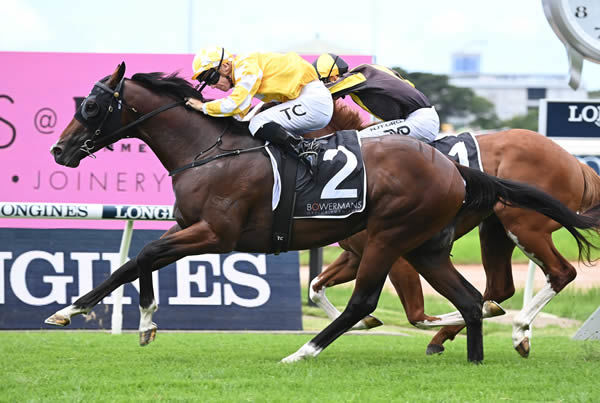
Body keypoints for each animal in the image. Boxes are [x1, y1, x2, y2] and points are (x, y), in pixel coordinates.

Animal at [308, 106, 600, 356]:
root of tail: (576, 163)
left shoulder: (393, 251)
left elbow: (417, 316)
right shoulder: (356, 254)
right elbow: (315, 286)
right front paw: (361, 322)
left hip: (525, 226)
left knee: (560, 273)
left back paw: (518, 331)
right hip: (495, 229)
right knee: (500, 287)